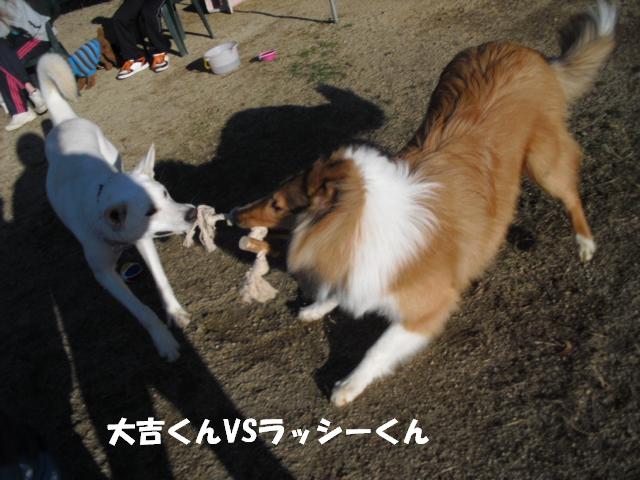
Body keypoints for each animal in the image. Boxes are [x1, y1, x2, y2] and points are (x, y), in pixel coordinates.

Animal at [37, 53, 196, 361]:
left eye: (165, 193)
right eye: (150, 212)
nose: (193, 213)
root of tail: (64, 121)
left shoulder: (143, 240)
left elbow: (161, 281)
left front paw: (174, 313)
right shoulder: (104, 275)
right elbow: (141, 310)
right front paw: (163, 339)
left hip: (112, 154)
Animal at [230, 1, 617, 405]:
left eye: (277, 205)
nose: (233, 214)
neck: (362, 220)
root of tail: (527, 52)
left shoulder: (427, 308)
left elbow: (377, 349)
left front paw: (348, 384)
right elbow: (340, 289)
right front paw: (316, 308)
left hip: (544, 162)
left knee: (571, 194)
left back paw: (585, 243)